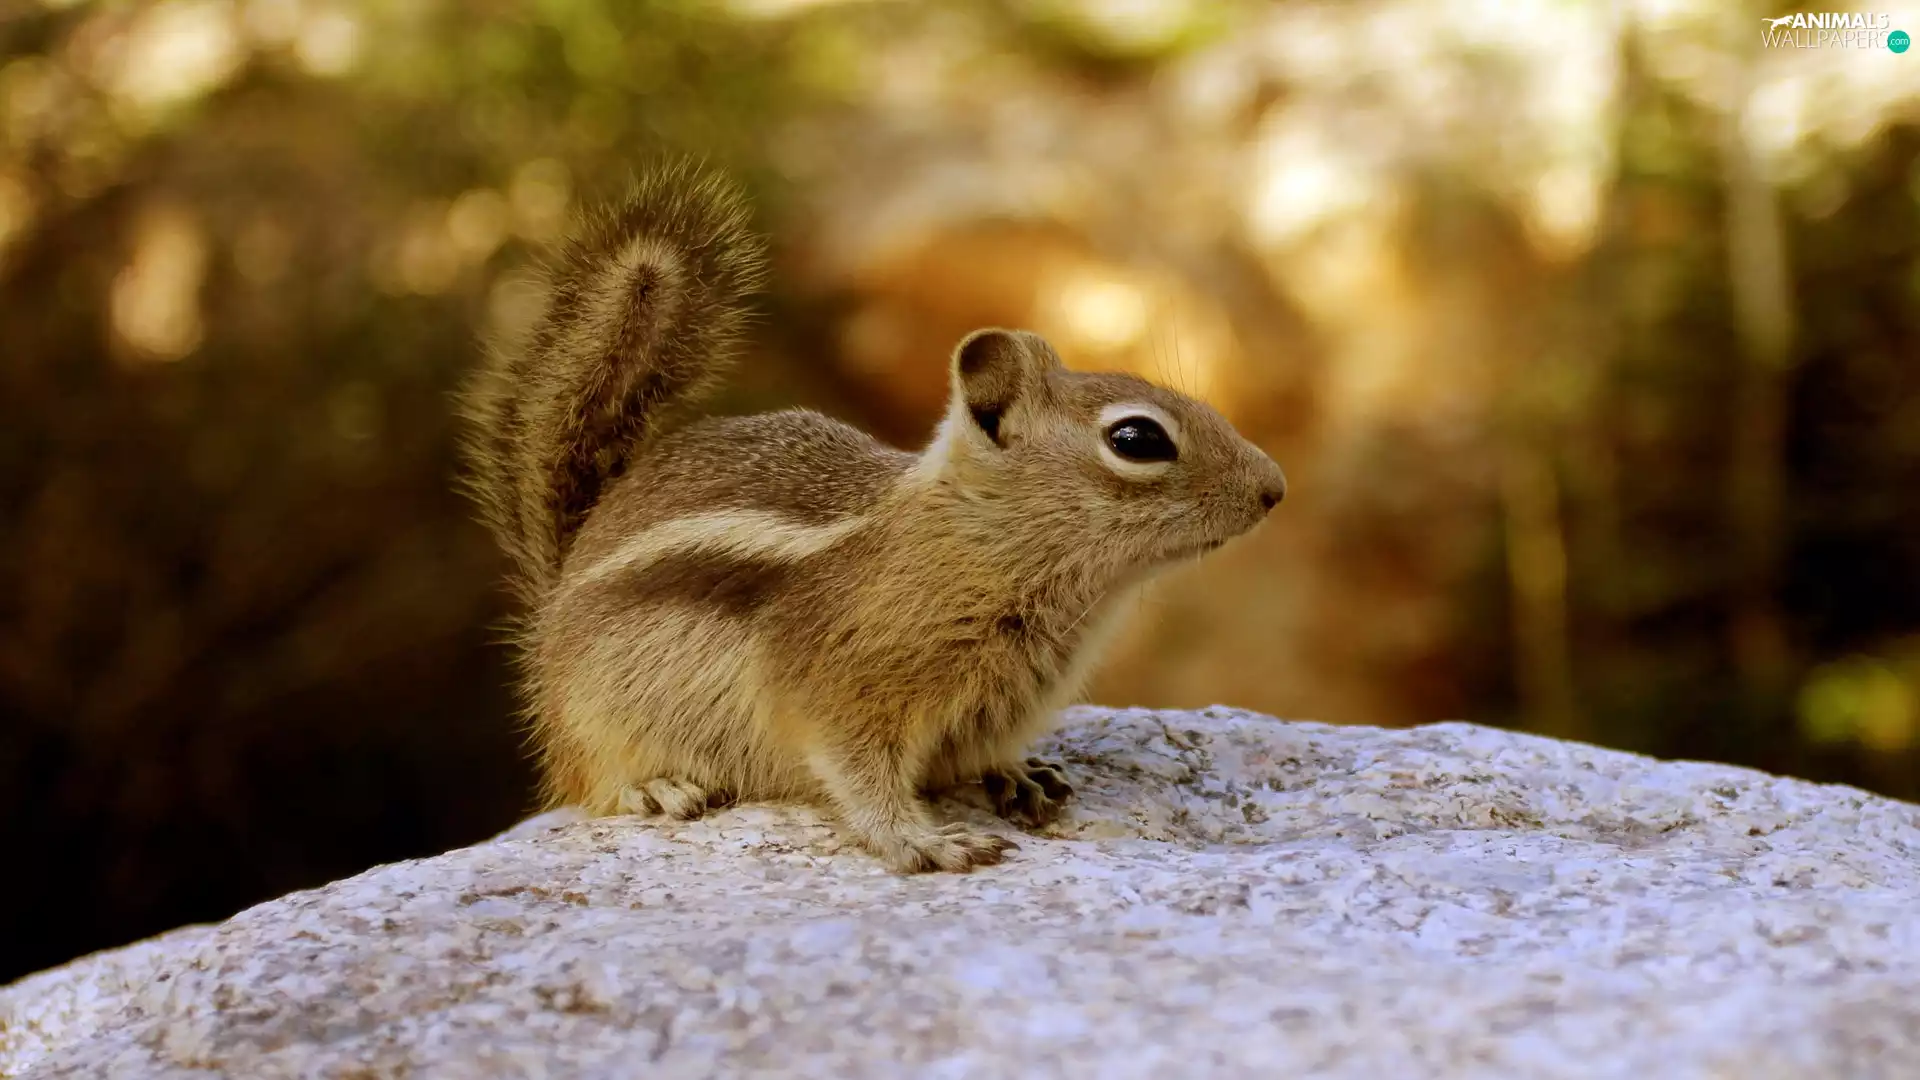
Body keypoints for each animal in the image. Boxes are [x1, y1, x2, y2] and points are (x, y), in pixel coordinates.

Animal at [458, 159, 1287, 873]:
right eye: (1137, 439)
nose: (1275, 487)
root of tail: (553, 598)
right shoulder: (840, 686)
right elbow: (857, 774)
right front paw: (923, 842)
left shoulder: (997, 703)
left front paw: (1017, 774)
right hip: (593, 721)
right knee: (590, 783)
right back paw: (652, 787)